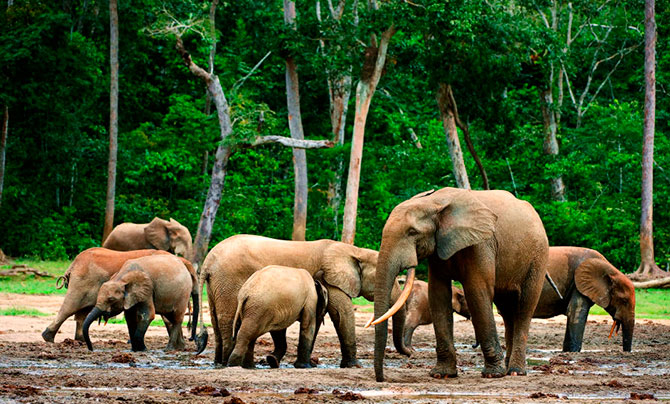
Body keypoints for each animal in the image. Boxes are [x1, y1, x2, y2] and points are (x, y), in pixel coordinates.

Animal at [41, 246, 172, 344]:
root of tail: (73, 265)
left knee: (82, 312)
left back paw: (81, 340)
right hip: (82, 282)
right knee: (70, 307)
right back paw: (48, 338)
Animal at [200, 234, 412, 370]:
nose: (410, 352)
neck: (354, 251)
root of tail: (207, 262)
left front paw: (278, 361)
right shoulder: (331, 280)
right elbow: (342, 315)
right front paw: (354, 366)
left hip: (216, 287)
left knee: (218, 322)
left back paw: (220, 362)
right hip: (229, 282)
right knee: (230, 321)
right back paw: (229, 362)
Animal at [372, 188, 552, 380]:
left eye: (412, 232)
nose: (382, 379)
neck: (434, 201)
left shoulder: (481, 244)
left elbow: (477, 292)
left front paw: (492, 375)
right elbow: (438, 295)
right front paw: (441, 374)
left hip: (538, 256)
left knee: (524, 307)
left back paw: (515, 371)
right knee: (507, 310)